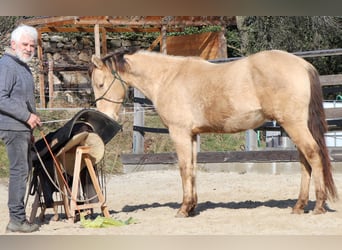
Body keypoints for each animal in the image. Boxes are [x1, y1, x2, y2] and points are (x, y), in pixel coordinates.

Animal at [89, 48, 338, 217]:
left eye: (100, 84)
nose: (106, 116)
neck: (168, 78)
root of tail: (302, 65)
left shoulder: (179, 133)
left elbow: (184, 168)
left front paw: (183, 209)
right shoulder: (192, 135)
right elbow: (192, 168)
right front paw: (191, 206)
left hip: (294, 124)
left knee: (313, 155)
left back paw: (318, 206)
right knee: (305, 161)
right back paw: (299, 206)